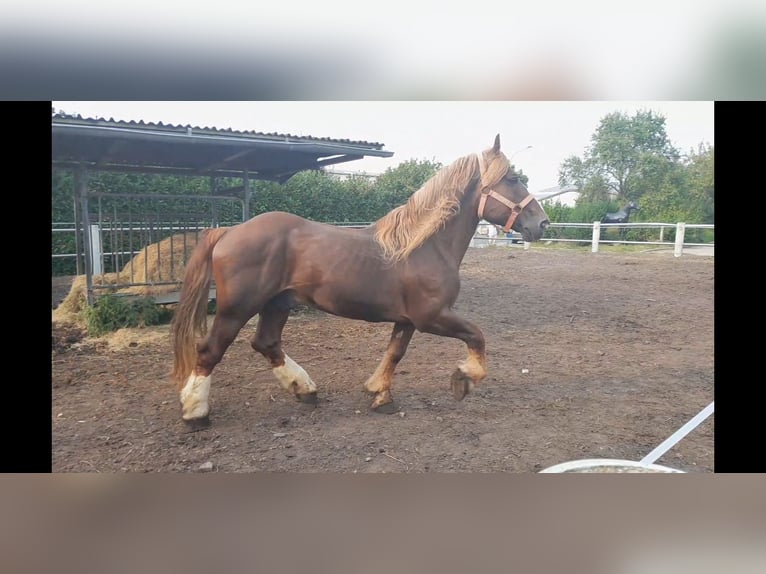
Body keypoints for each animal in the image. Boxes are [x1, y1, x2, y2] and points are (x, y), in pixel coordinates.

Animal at [171, 135, 548, 430]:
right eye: (512, 177)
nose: (541, 224)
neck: (424, 246)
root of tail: (229, 231)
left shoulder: (407, 320)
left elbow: (395, 353)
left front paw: (380, 395)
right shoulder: (432, 317)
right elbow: (476, 336)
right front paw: (463, 380)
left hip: (277, 303)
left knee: (266, 343)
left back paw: (306, 391)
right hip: (237, 308)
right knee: (210, 350)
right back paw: (195, 414)